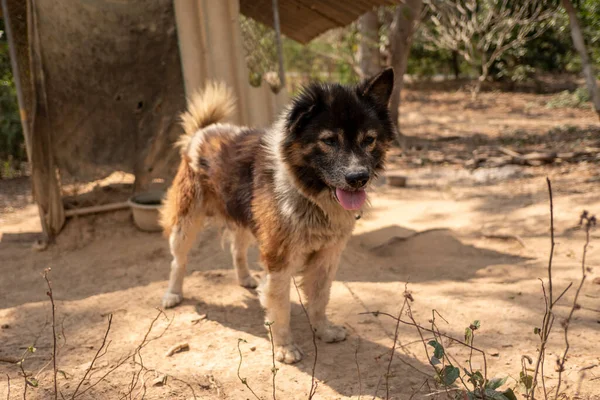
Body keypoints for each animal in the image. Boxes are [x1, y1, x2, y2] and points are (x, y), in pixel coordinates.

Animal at [158, 68, 398, 362]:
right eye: (329, 141)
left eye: (369, 140)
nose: (358, 178)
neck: (308, 195)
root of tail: (204, 130)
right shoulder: (279, 260)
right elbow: (280, 307)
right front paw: (285, 347)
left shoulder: (327, 256)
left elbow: (320, 298)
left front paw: (324, 330)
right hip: (186, 223)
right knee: (178, 261)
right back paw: (173, 293)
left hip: (245, 220)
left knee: (237, 249)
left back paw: (245, 278)